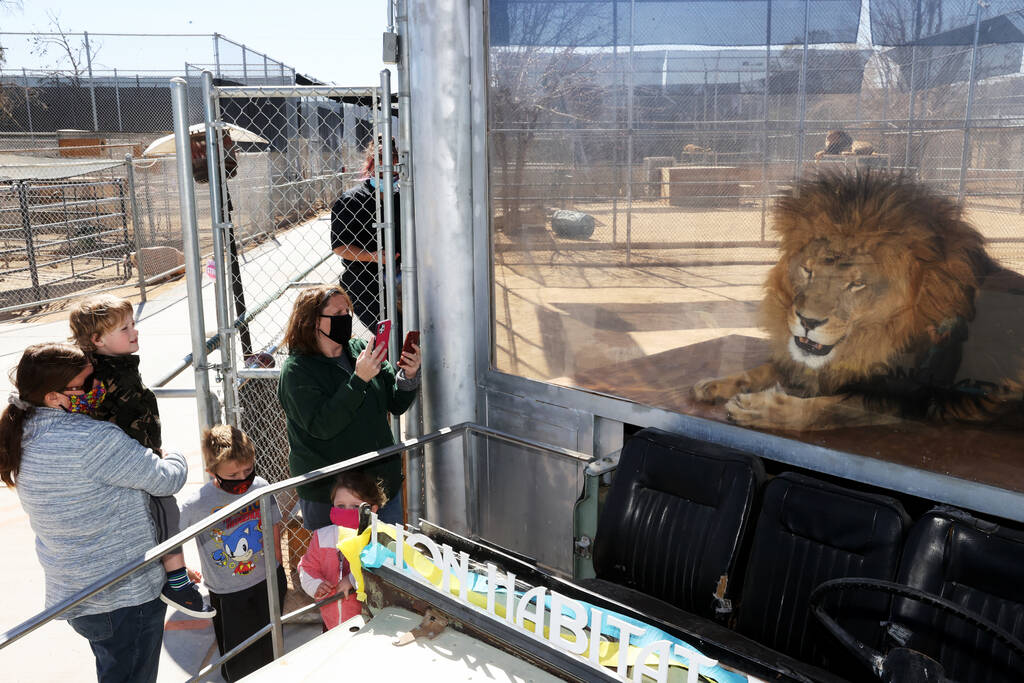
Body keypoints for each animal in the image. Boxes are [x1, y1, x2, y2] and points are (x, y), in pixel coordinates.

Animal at [692, 169, 1024, 430]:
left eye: (856, 284)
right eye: (808, 270)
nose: (808, 321)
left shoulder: (909, 396)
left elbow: (828, 407)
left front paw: (759, 408)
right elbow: (767, 367)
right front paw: (716, 383)